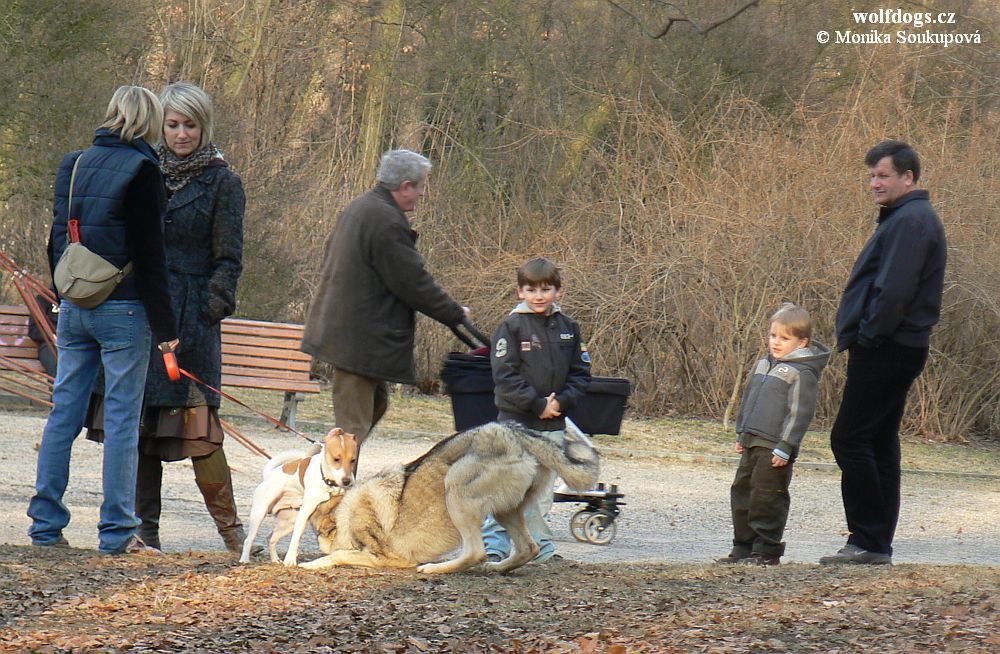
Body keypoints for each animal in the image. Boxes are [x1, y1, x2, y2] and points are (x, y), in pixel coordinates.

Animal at [239, 430, 360, 564]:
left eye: (353, 460)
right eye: (336, 459)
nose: (347, 481)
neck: (328, 482)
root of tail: (269, 475)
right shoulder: (305, 511)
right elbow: (295, 538)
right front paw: (290, 560)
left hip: (289, 522)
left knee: (271, 538)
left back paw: (275, 559)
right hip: (259, 514)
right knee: (248, 540)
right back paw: (244, 559)